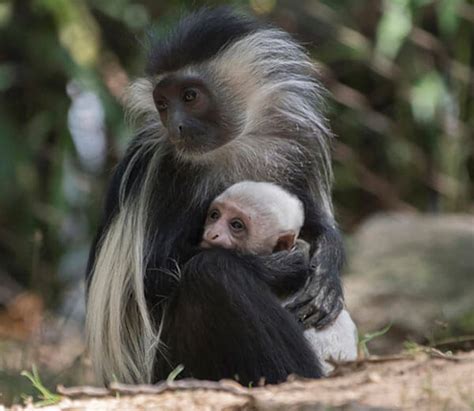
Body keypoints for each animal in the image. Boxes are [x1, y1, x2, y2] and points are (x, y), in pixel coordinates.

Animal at [85, 8, 344, 388]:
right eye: (163, 104)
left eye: (190, 96)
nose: (175, 126)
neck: (234, 146)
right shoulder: (164, 171)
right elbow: (148, 281)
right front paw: (277, 267)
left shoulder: (296, 145)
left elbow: (314, 221)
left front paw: (327, 268)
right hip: (175, 364)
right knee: (211, 275)